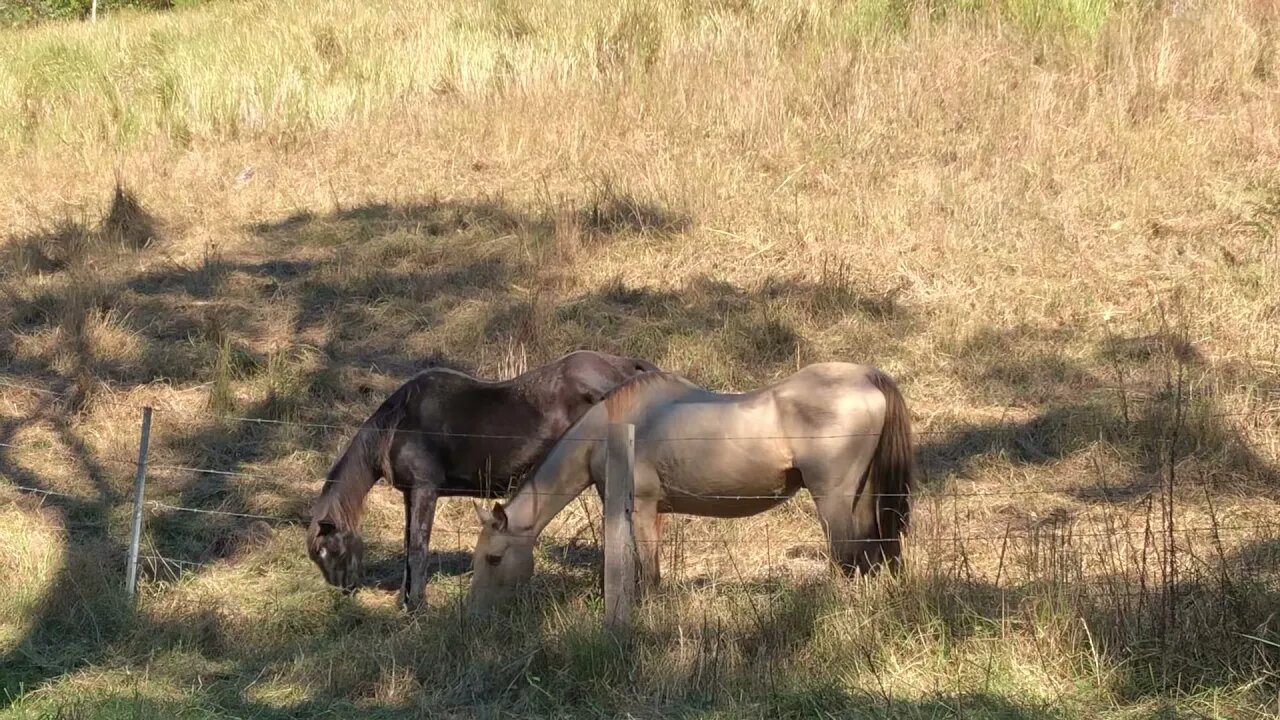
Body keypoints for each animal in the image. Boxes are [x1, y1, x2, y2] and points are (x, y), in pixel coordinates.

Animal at [303, 348, 655, 604]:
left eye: (330, 550)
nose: (344, 589)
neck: (399, 423)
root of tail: (624, 366)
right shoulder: (410, 495)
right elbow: (408, 546)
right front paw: (404, 601)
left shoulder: (425, 490)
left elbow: (418, 548)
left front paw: (417, 605)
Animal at [465, 363, 916, 604]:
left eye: (493, 558)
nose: (475, 611)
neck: (609, 430)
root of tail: (865, 377)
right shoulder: (654, 512)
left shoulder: (638, 507)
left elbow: (647, 572)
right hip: (864, 495)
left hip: (834, 499)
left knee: (848, 555)